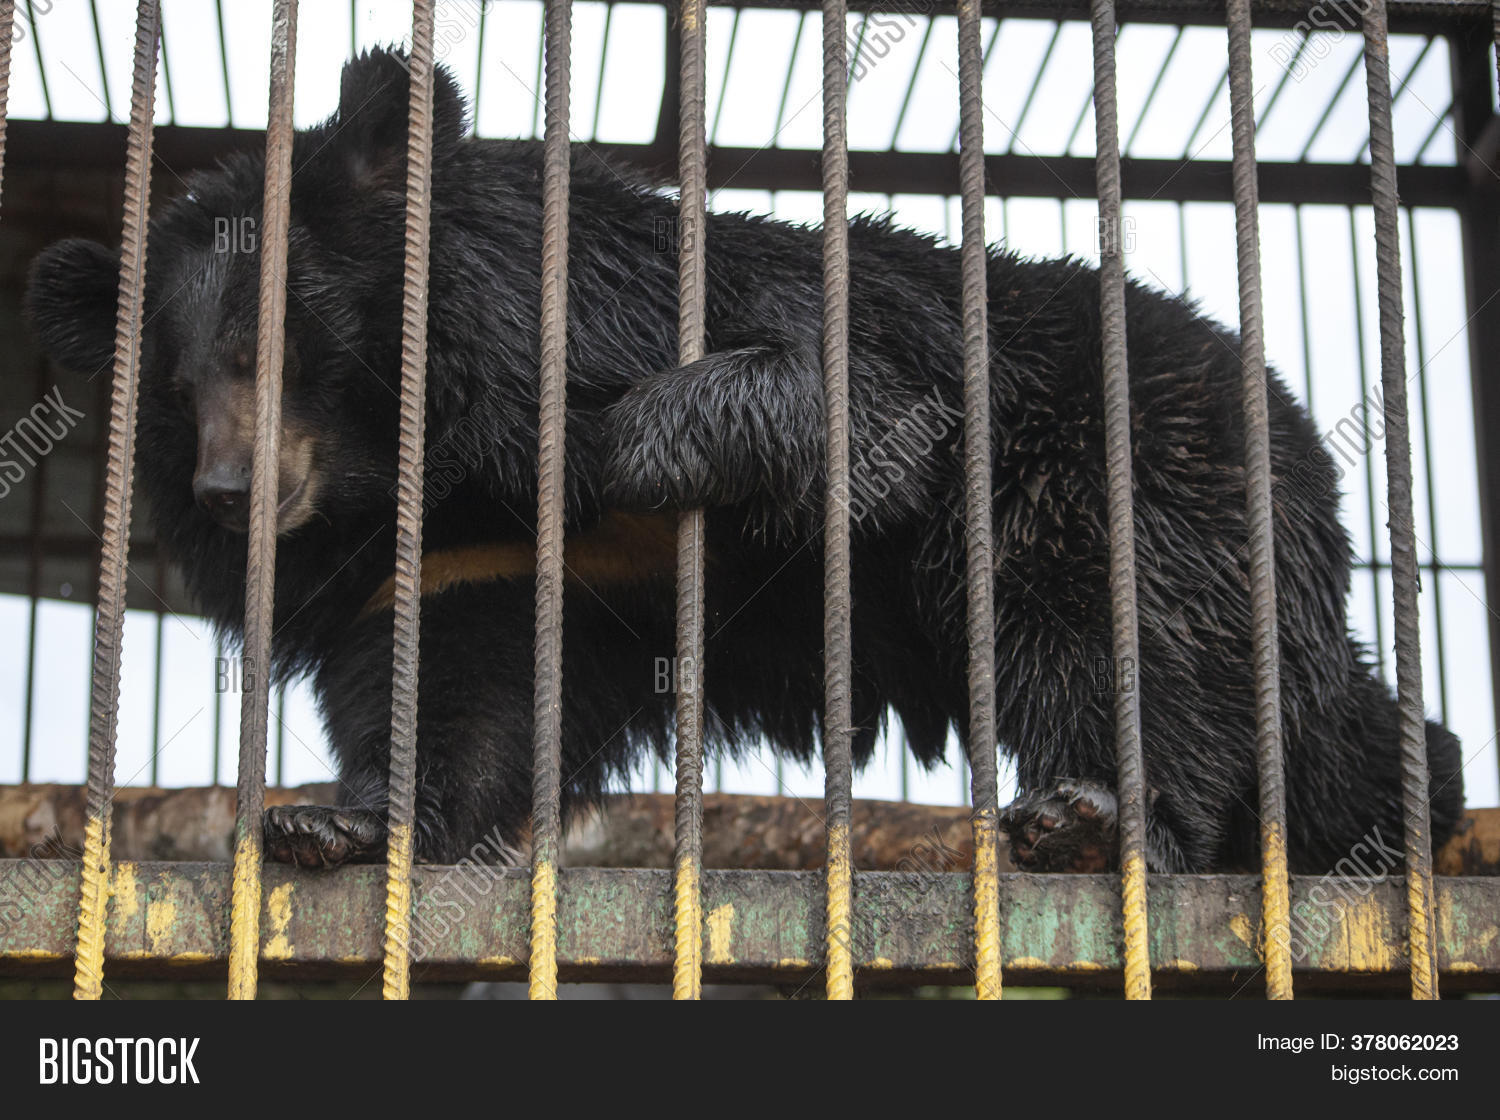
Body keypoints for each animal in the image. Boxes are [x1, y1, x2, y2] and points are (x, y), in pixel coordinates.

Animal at [24, 47, 1463, 874]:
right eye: (177, 385)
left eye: (282, 349)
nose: (231, 496)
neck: (426, 455)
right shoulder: (457, 558)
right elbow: (458, 686)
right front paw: (334, 818)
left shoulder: (659, 311)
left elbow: (854, 405)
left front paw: (640, 444)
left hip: (1133, 474)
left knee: (1117, 634)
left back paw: (1098, 816)